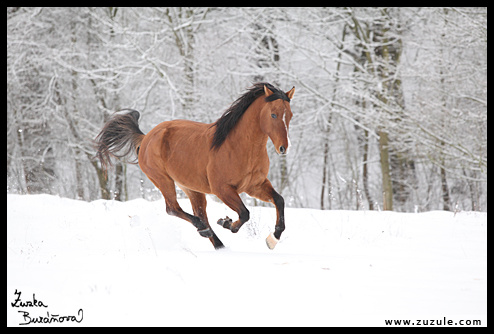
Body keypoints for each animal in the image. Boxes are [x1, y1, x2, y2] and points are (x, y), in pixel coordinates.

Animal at [95, 83, 294, 250]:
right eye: (273, 114)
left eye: (290, 115)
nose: (283, 148)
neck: (239, 147)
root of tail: (146, 138)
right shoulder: (223, 189)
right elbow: (244, 213)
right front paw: (226, 223)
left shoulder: (255, 185)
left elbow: (279, 200)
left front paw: (272, 239)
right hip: (163, 180)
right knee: (173, 209)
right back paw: (203, 229)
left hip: (191, 188)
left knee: (198, 212)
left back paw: (217, 243)